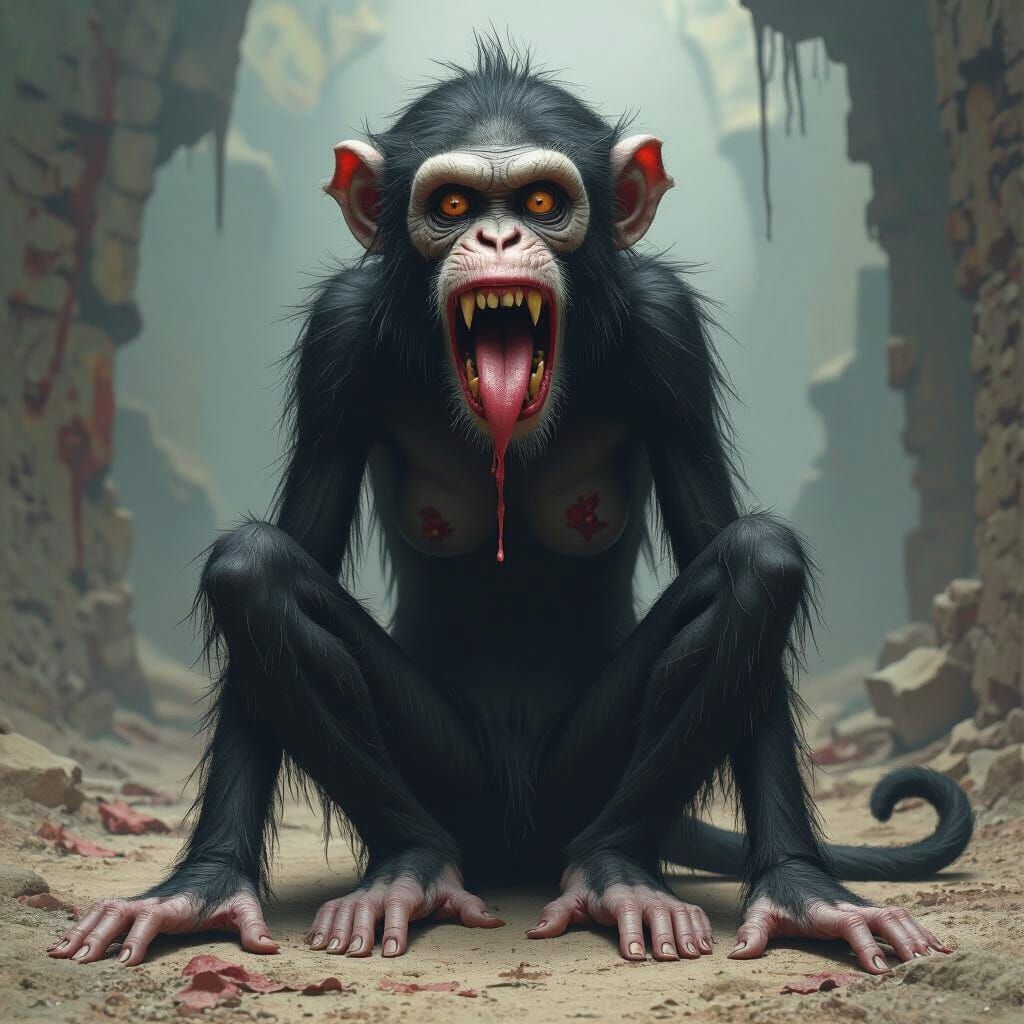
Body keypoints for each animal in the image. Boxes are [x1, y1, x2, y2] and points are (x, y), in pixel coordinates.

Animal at [51, 40, 971, 971]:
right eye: (454, 204)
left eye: (540, 202)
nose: (498, 235)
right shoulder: (333, 338)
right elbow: (291, 543)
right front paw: (202, 885)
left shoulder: (670, 331)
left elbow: (722, 538)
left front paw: (800, 889)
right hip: (457, 786)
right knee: (256, 573)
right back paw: (410, 865)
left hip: (574, 787)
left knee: (755, 564)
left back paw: (616, 869)